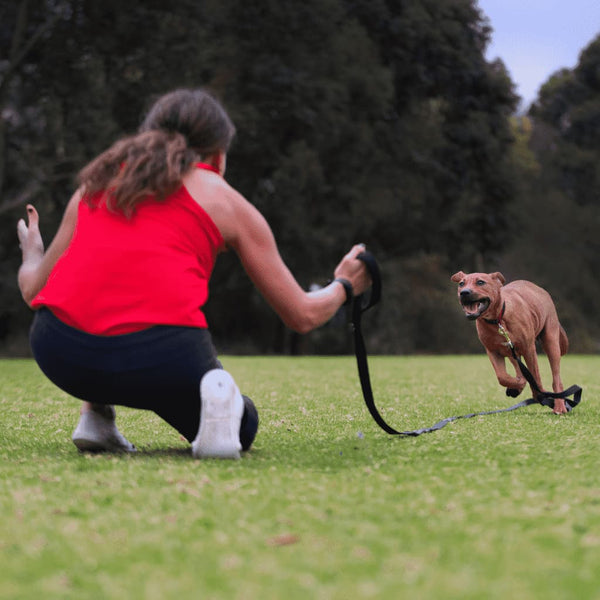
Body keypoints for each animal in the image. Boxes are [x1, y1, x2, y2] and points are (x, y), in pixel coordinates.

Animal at [450, 270, 568, 412]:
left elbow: (535, 375)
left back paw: (559, 406)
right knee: (518, 369)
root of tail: (540, 289)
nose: (464, 292)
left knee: (556, 378)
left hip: (551, 342)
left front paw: (539, 393)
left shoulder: (529, 349)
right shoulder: (493, 351)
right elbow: (502, 377)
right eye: (461, 284)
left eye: (480, 282)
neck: (498, 320)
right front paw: (518, 384)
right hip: (512, 352)